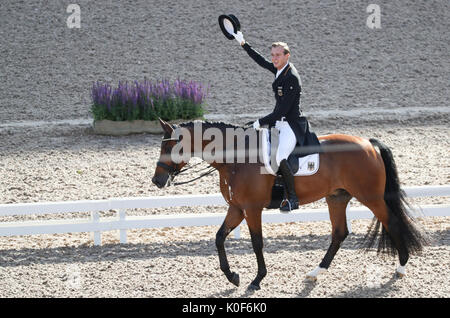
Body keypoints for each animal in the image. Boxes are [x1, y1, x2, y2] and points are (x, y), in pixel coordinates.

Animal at [152, 118, 428, 290]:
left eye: (172, 146)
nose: (157, 180)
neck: (237, 159)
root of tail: (369, 143)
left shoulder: (252, 209)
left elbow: (257, 242)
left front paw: (257, 279)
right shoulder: (237, 208)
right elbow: (219, 237)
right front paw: (233, 277)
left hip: (371, 197)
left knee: (392, 222)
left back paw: (401, 267)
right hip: (337, 197)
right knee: (339, 233)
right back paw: (316, 272)